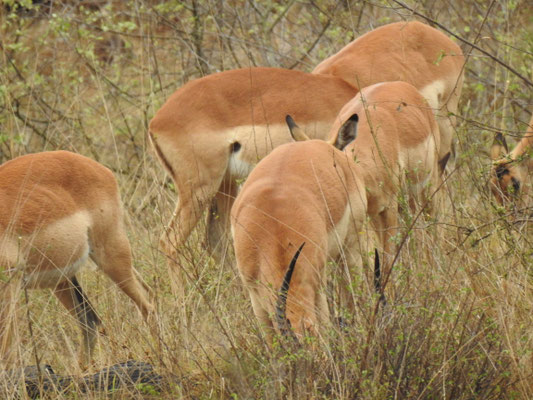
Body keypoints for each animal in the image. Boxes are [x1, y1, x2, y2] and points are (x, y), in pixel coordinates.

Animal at [0, 151, 154, 368]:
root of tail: (99, 168)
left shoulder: (9, 283)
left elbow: (6, 352)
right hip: (64, 279)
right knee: (91, 321)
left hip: (111, 253)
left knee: (147, 304)